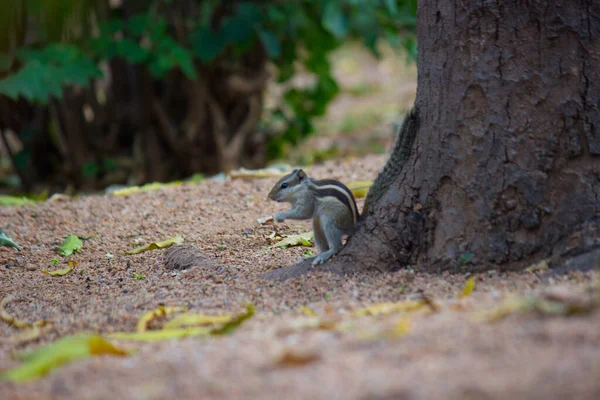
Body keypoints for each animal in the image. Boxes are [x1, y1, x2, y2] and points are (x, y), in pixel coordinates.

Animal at [266, 107, 418, 266]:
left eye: (284, 185)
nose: (269, 196)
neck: (302, 189)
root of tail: (355, 223)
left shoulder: (307, 200)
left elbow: (303, 213)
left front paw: (280, 215)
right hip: (317, 223)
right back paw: (314, 256)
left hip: (330, 219)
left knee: (337, 246)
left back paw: (326, 254)